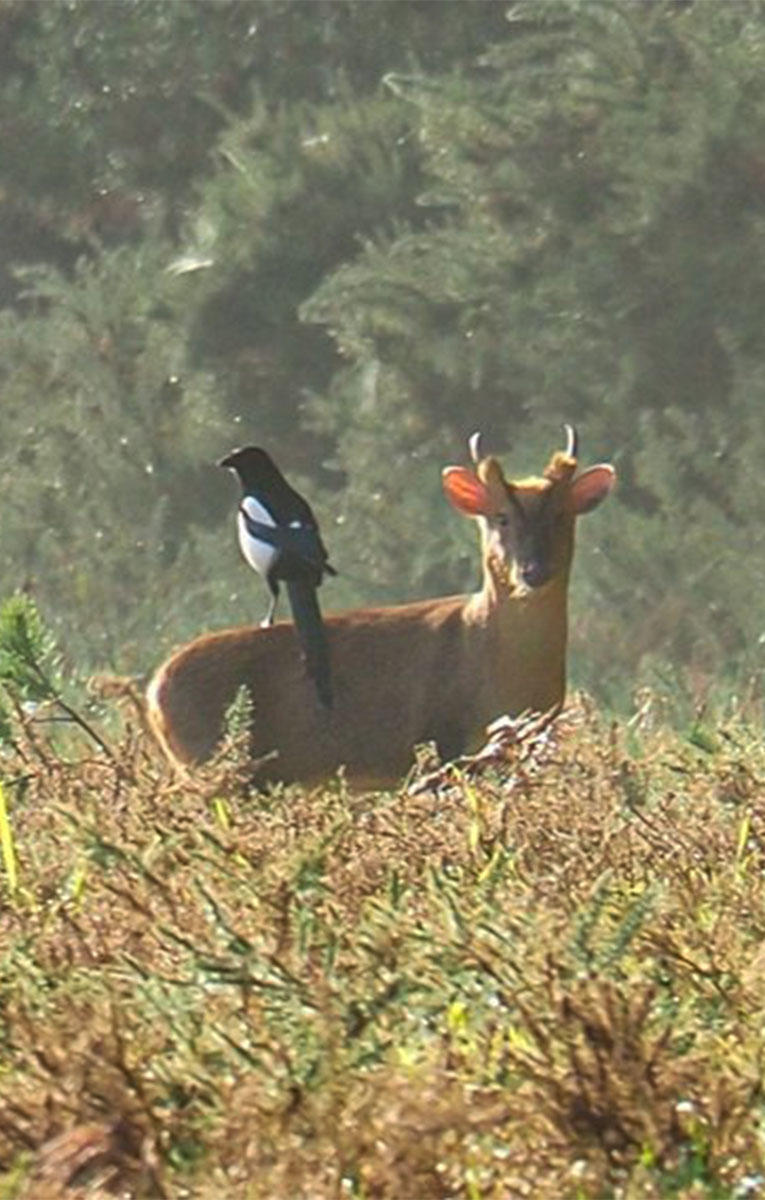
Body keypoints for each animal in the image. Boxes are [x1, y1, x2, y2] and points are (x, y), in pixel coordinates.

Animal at [146, 429, 618, 787]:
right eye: (500, 517)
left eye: (561, 516)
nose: (533, 571)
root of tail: (154, 692)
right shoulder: (444, 736)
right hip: (211, 760)